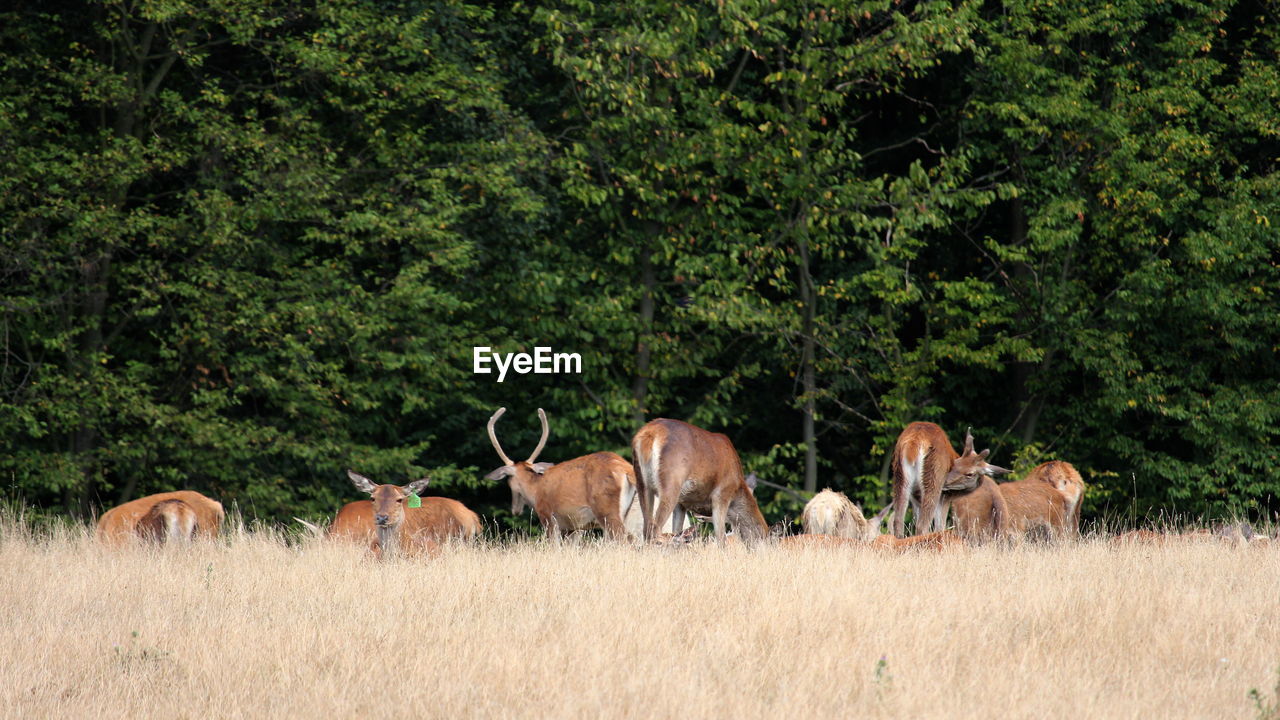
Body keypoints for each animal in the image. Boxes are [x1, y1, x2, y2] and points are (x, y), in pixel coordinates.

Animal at [481, 407, 640, 540]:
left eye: (508, 480)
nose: (515, 510)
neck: (534, 490)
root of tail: (626, 471)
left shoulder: (548, 517)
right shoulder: (576, 528)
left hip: (608, 511)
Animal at [632, 417, 768, 545]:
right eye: (760, 532)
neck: (737, 487)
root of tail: (650, 434)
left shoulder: (681, 503)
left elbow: (677, 531)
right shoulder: (721, 494)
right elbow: (720, 538)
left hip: (642, 483)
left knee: (646, 526)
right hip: (671, 481)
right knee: (655, 527)